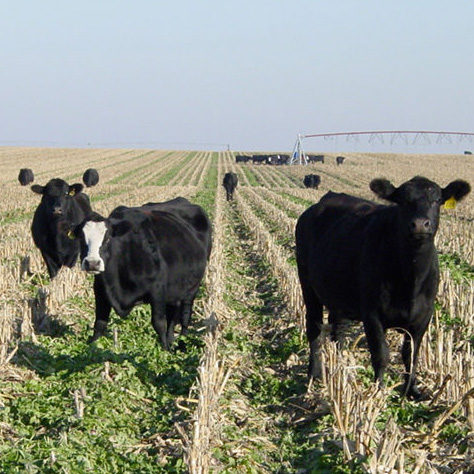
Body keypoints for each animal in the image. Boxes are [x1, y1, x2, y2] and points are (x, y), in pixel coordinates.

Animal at [70, 196, 211, 348]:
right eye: (81, 238)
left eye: (107, 238)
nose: (92, 263)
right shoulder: (100, 290)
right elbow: (99, 324)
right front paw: (92, 347)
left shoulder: (158, 290)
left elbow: (159, 323)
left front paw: (165, 349)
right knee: (173, 315)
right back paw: (172, 340)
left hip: (192, 288)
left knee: (185, 315)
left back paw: (182, 341)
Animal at [296, 176, 470, 398]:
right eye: (402, 201)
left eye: (437, 199)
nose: (420, 224)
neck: (410, 282)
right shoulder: (372, 315)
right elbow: (381, 354)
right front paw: (378, 391)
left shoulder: (424, 316)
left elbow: (411, 354)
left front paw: (412, 390)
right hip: (308, 287)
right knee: (315, 328)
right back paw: (315, 373)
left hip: (337, 296)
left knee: (338, 330)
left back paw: (340, 366)